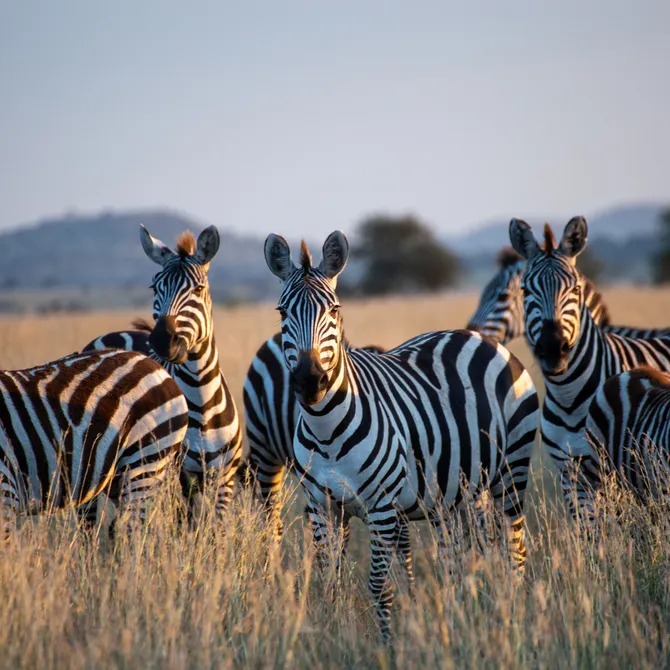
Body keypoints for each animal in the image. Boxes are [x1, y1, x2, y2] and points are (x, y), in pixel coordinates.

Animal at [82, 225, 242, 523]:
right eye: (155, 287)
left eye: (199, 288)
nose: (162, 340)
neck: (202, 400)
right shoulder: (176, 479)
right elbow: (184, 530)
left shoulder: (223, 479)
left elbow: (215, 531)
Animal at [264, 230, 539, 641]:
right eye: (282, 313)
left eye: (335, 311)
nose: (310, 382)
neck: (326, 431)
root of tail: (481, 339)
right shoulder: (321, 507)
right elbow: (330, 582)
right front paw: (332, 636)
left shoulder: (380, 507)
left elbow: (379, 585)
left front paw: (387, 644)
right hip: (459, 493)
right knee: (459, 559)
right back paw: (461, 618)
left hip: (511, 472)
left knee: (514, 549)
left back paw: (516, 616)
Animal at [509, 216, 670, 524]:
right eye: (525, 290)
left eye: (575, 289)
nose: (553, 348)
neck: (568, 396)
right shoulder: (571, 475)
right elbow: (589, 532)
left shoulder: (615, 472)